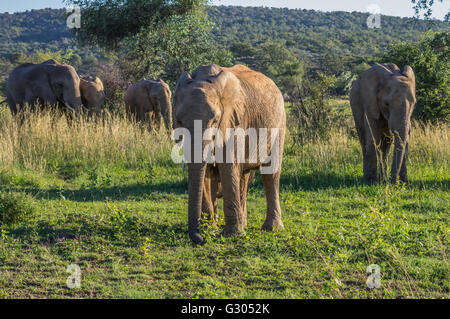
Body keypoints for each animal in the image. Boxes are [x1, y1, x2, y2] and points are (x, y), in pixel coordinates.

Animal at [174, 64, 286, 245]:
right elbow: (206, 173)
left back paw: (271, 228)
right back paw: (243, 224)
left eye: (214, 121)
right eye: (179, 121)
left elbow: (228, 168)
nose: (201, 240)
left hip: (279, 123)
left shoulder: (233, 121)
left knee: (270, 174)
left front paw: (230, 235)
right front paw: (210, 230)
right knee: (243, 176)